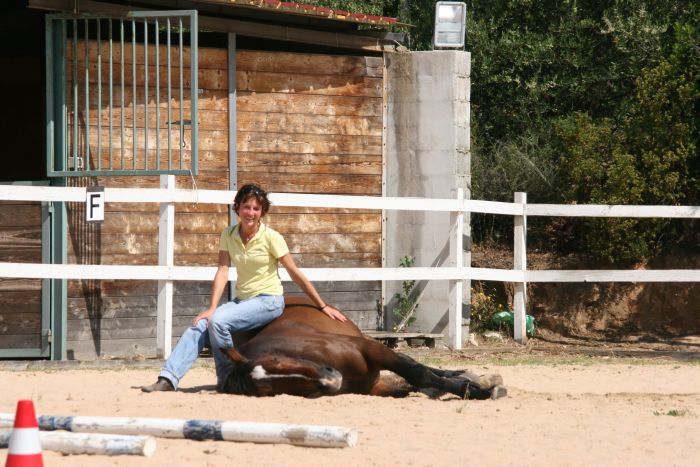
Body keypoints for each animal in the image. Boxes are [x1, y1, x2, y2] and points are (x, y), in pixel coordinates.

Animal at [221, 298, 506, 400]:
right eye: (270, 390)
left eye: (278, 360)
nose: (330, 380)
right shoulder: (374, 386)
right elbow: (410, 385)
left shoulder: (370, 348)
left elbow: (418, 372)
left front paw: (477, 391)